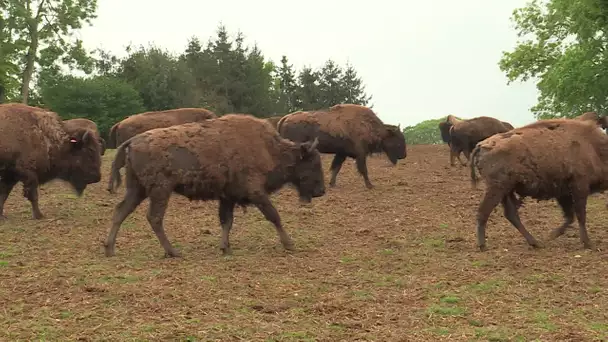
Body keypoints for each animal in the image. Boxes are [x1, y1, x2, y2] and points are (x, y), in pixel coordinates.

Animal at [103, 113, 328, 258]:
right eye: (312, 163)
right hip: (160, 191)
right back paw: (173, 252)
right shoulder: (256, 193)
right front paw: (289, 244)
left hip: (138, 190)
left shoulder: (227, 197)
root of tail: (132, 141)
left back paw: (109, 249)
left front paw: (225, 248)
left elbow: (226, 221)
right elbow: (274, 216)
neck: (270, 149)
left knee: (121, 211)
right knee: (154, 218)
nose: (321, 191)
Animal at [278, 104, 406, 190]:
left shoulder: (342, 153)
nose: (404, 155)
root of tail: (285, 118)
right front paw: (370, 185)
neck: (368, 125)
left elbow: (336, 168)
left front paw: (332, 184)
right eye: (398, 140)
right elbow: (363, 170)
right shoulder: (360, 154)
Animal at [470, 115, 608, 251]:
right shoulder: (579, 187)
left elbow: (570, 216)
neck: (593, 146)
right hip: (497, 189)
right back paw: (483, 245)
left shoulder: (564, 194)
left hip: (506, 191)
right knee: (484, 212)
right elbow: (580, 215)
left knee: (510, 214)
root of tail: (481, 145)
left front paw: (552, 235)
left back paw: (535, 243)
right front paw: (587, 243)